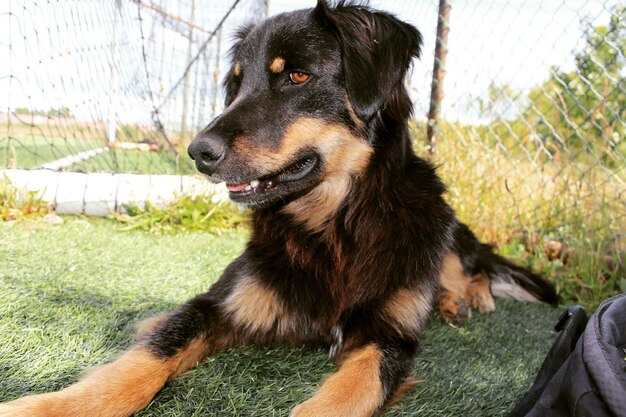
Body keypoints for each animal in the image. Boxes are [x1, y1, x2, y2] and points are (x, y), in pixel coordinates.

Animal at [0, 1, 556, 414]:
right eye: (237, 83)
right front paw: (52, 405)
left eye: (297, 77)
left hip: (442, 229)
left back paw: (466, 298)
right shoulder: (218, 303)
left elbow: (351, 392)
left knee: (469, 265)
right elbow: (146, 356)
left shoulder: (390, 339)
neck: (334, 226)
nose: (198, 152)